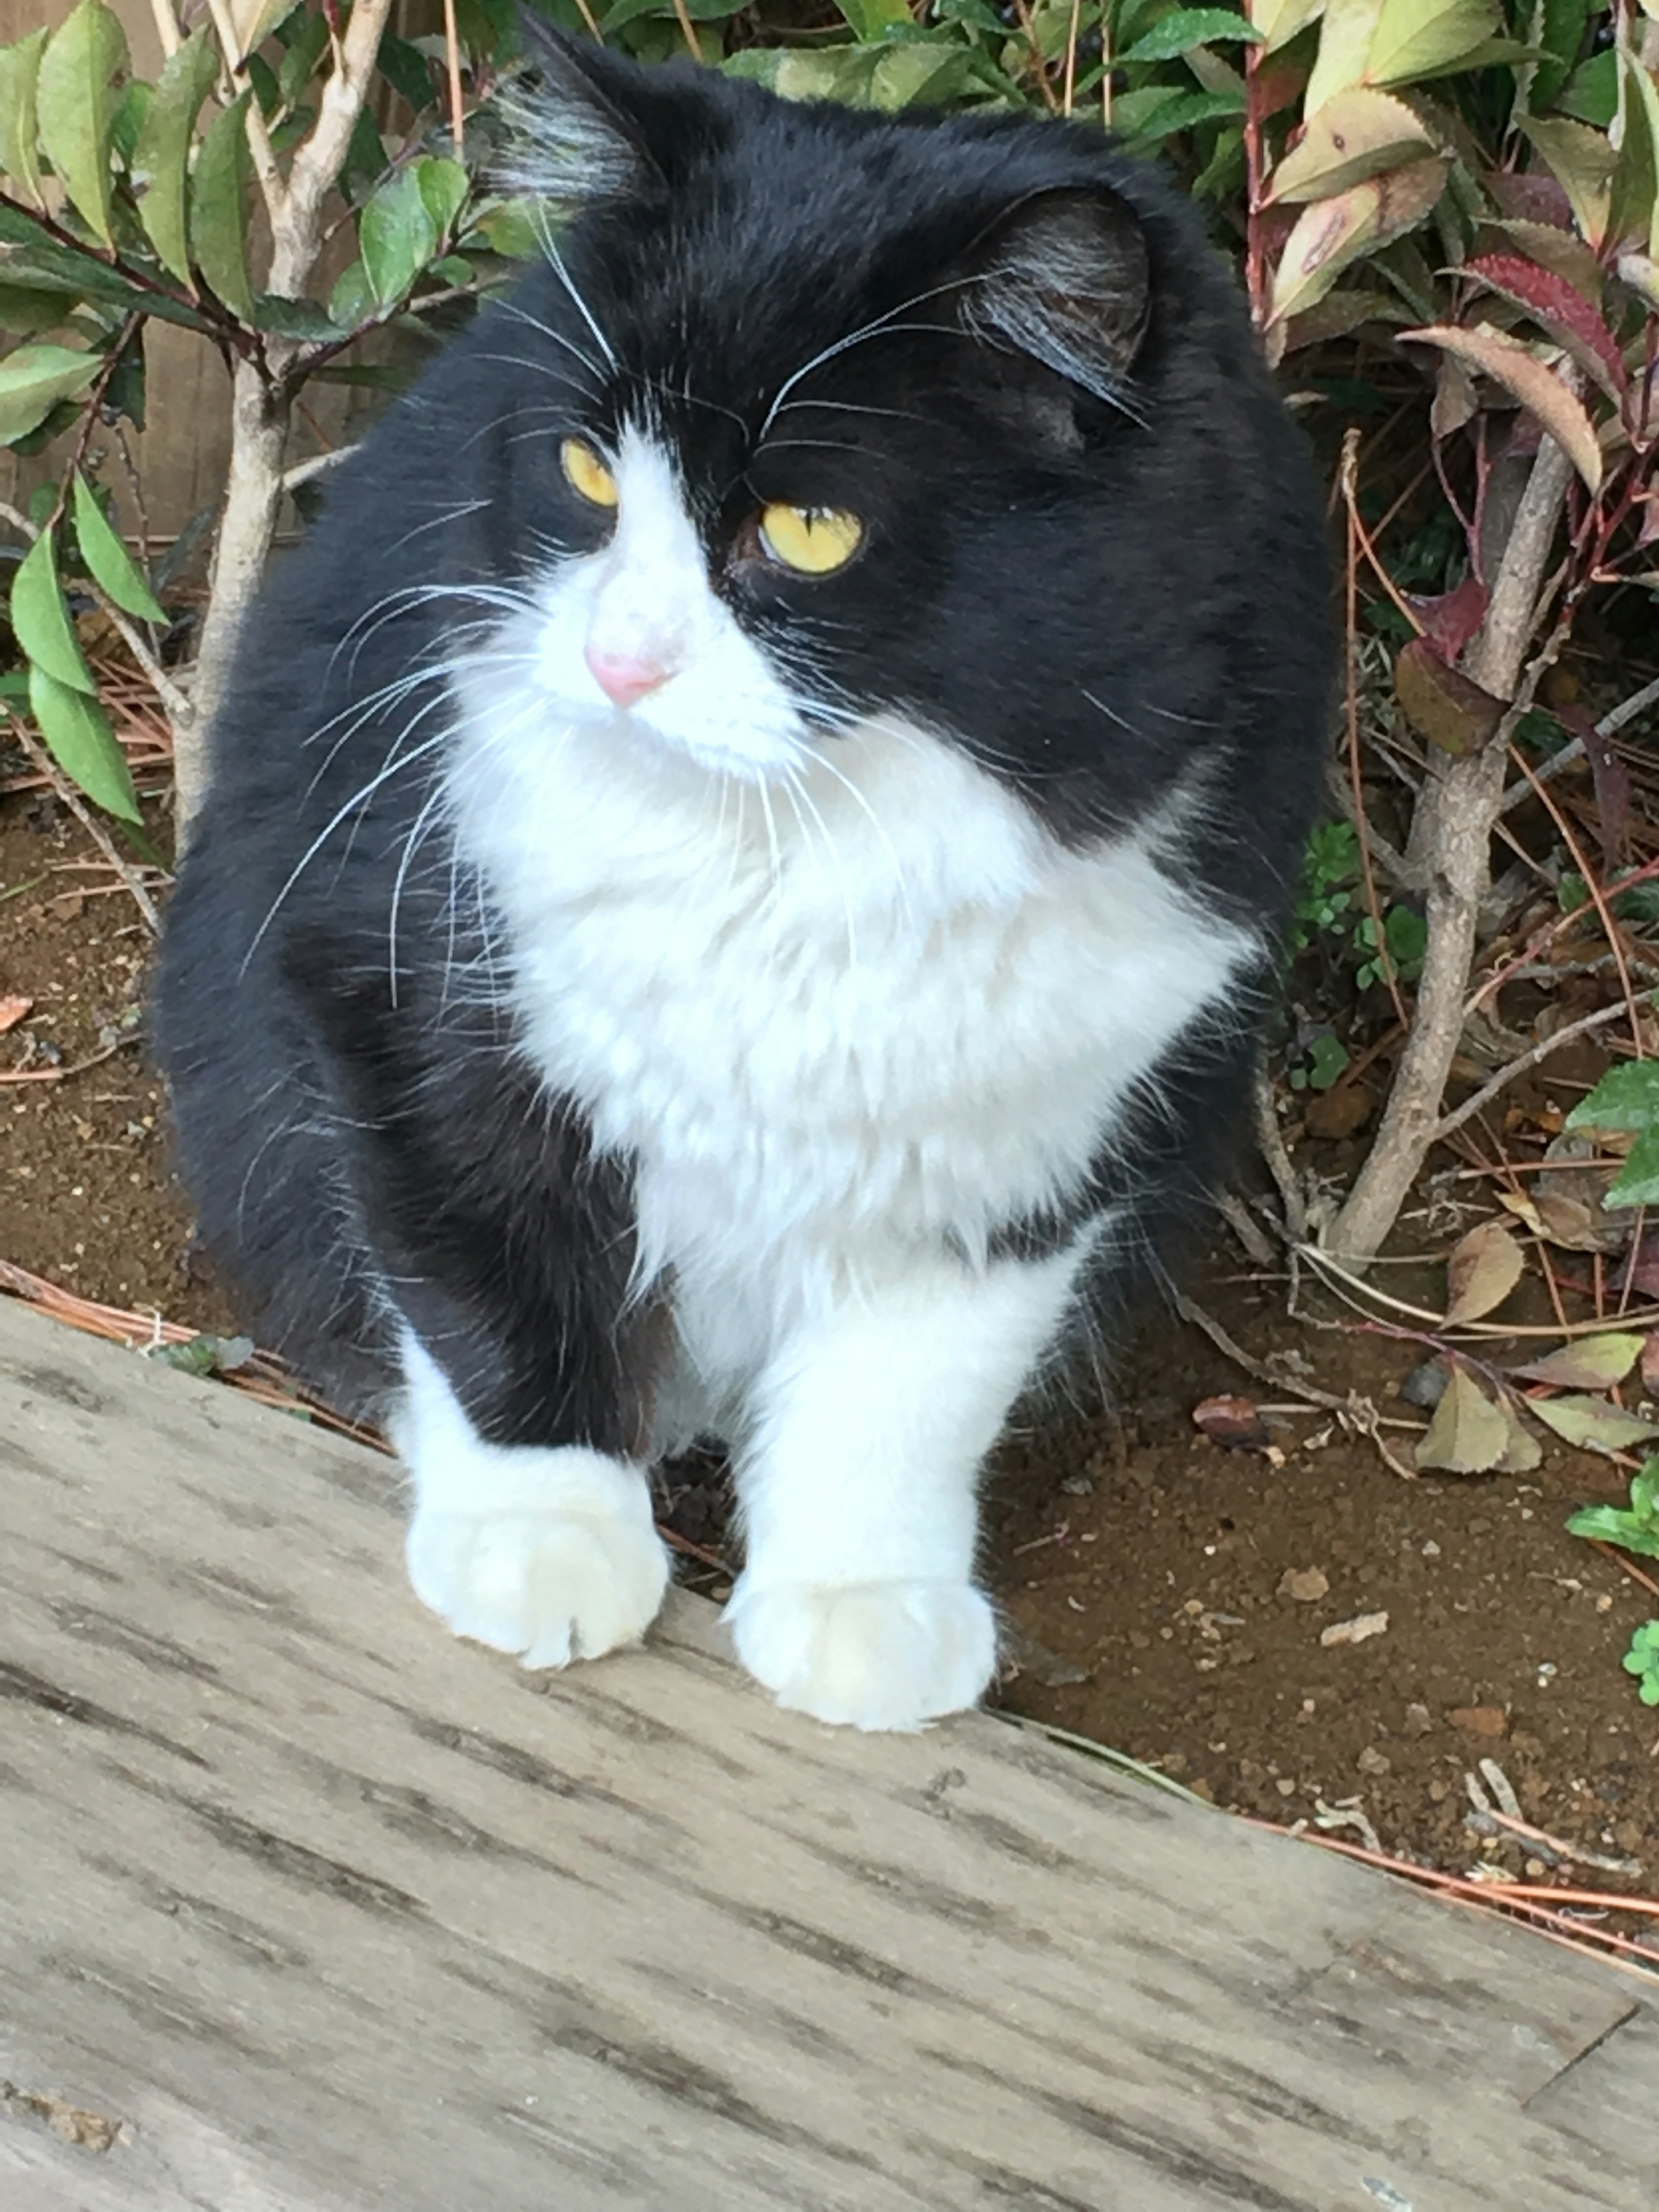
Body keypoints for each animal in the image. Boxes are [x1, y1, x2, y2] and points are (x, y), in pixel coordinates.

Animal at [149, 26, 1336, 1734]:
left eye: (810, 527)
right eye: (587, 471)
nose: (619, 660)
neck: (791, 848)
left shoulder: (1041, 1121)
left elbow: (906, 1385)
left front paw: (859, 1604)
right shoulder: (398, 968)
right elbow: (486, 1265)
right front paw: (542, 1536)